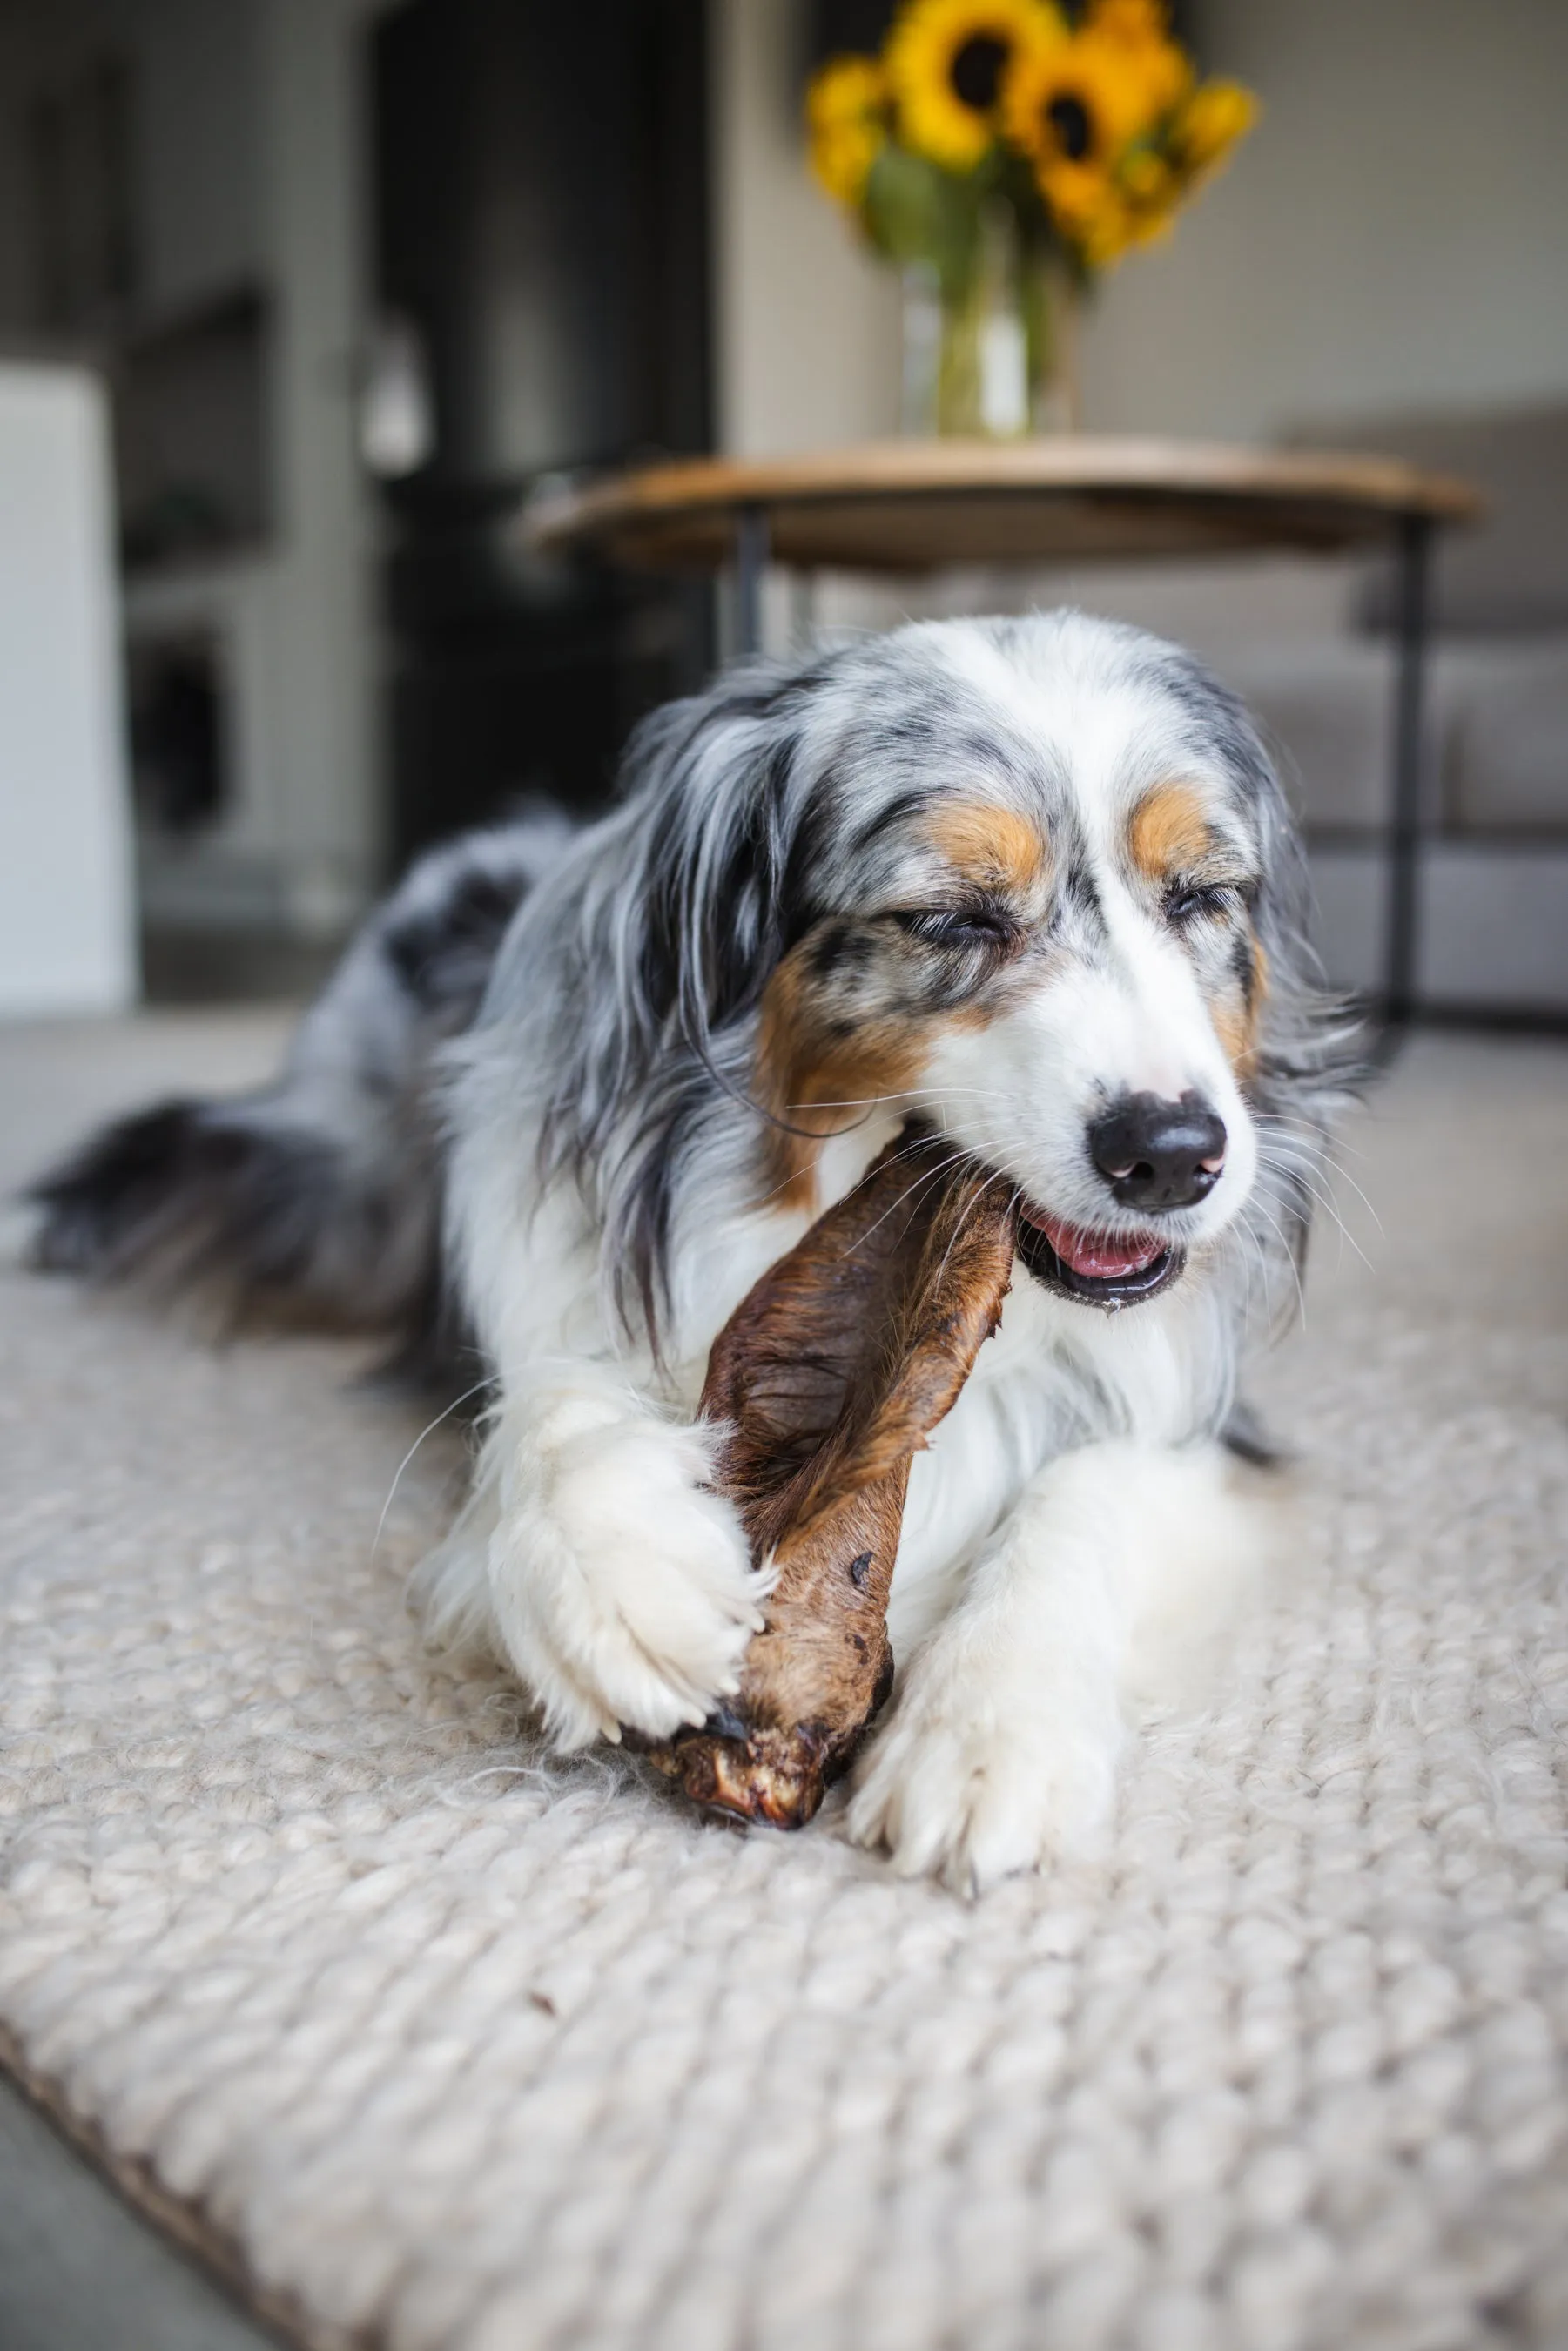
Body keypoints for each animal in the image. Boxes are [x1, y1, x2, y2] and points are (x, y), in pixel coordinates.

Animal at [30, 611, 1354, 1890]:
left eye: (1201, 896)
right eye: (948, 918)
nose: (1173, 1155)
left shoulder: (1201, 1424)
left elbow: (1091, 1487)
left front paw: (991, 1732)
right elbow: (547, 1405)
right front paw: (621, 1581)